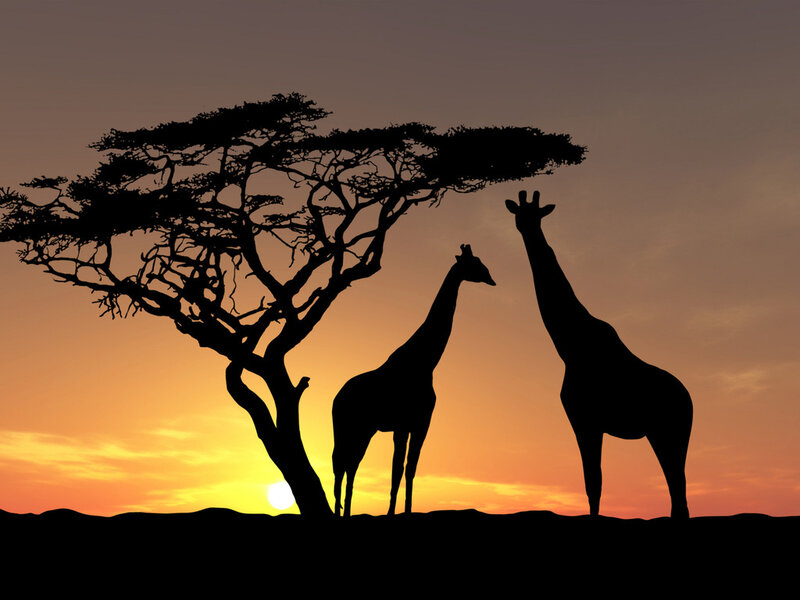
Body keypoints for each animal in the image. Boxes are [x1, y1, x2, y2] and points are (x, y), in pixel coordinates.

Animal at [332, 244, 496, 517]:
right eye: (475, 263)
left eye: (481, 262)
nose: (492, 279)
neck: (425, 362)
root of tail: (336, 398)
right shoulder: (403, 424)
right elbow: (398, 469)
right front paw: (391, 513)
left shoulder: (419, 423)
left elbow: (410, 469)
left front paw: (406, 511)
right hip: (350, 426)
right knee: (342, 462)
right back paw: (340, 511)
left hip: (363, 430)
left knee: (349, 463)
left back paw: (344, 510)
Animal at [505, 190, 692, 518]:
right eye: (520, 214)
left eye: (536, 215)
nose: (526, 229)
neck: (570, 346)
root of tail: (690, 402)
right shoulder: (587, 421)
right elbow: (593, 483)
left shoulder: (585, 419)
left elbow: (593, 483)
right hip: (663, 434)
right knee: (678, 493)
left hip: (670, 432)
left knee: (678, 490)